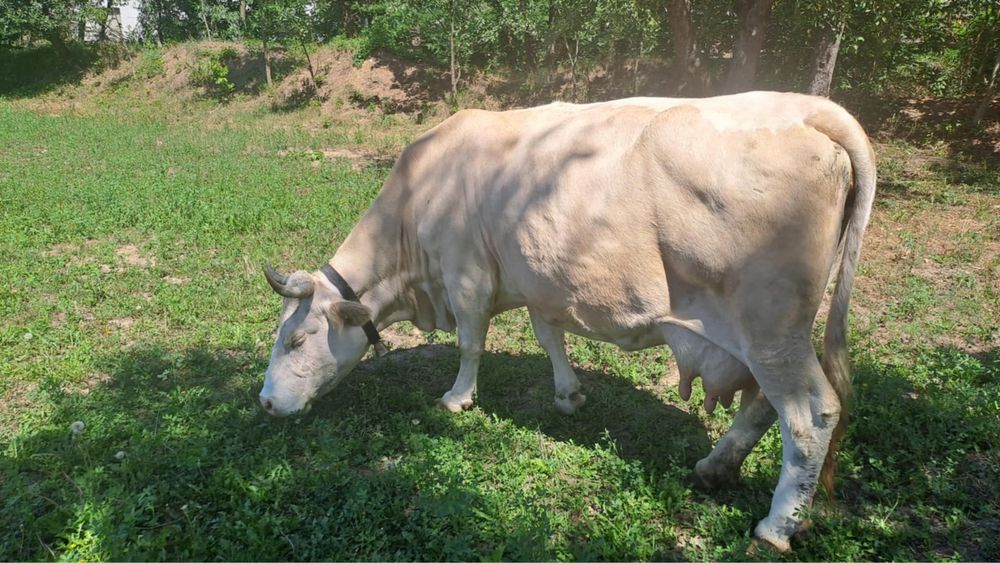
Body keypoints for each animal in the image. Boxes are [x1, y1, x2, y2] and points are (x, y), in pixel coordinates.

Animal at [258, 91, 876, 552]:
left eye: (297, 339)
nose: (264, 403)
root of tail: (809, 109)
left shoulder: (466, 277)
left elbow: (470, 344)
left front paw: (458, 398)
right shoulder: (540, 281)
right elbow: (548, 336)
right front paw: (567, 394)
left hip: (771, 328)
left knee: (809, 413)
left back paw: (776, 525)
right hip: (766, 337)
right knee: (762, 406)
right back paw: (713, 467)